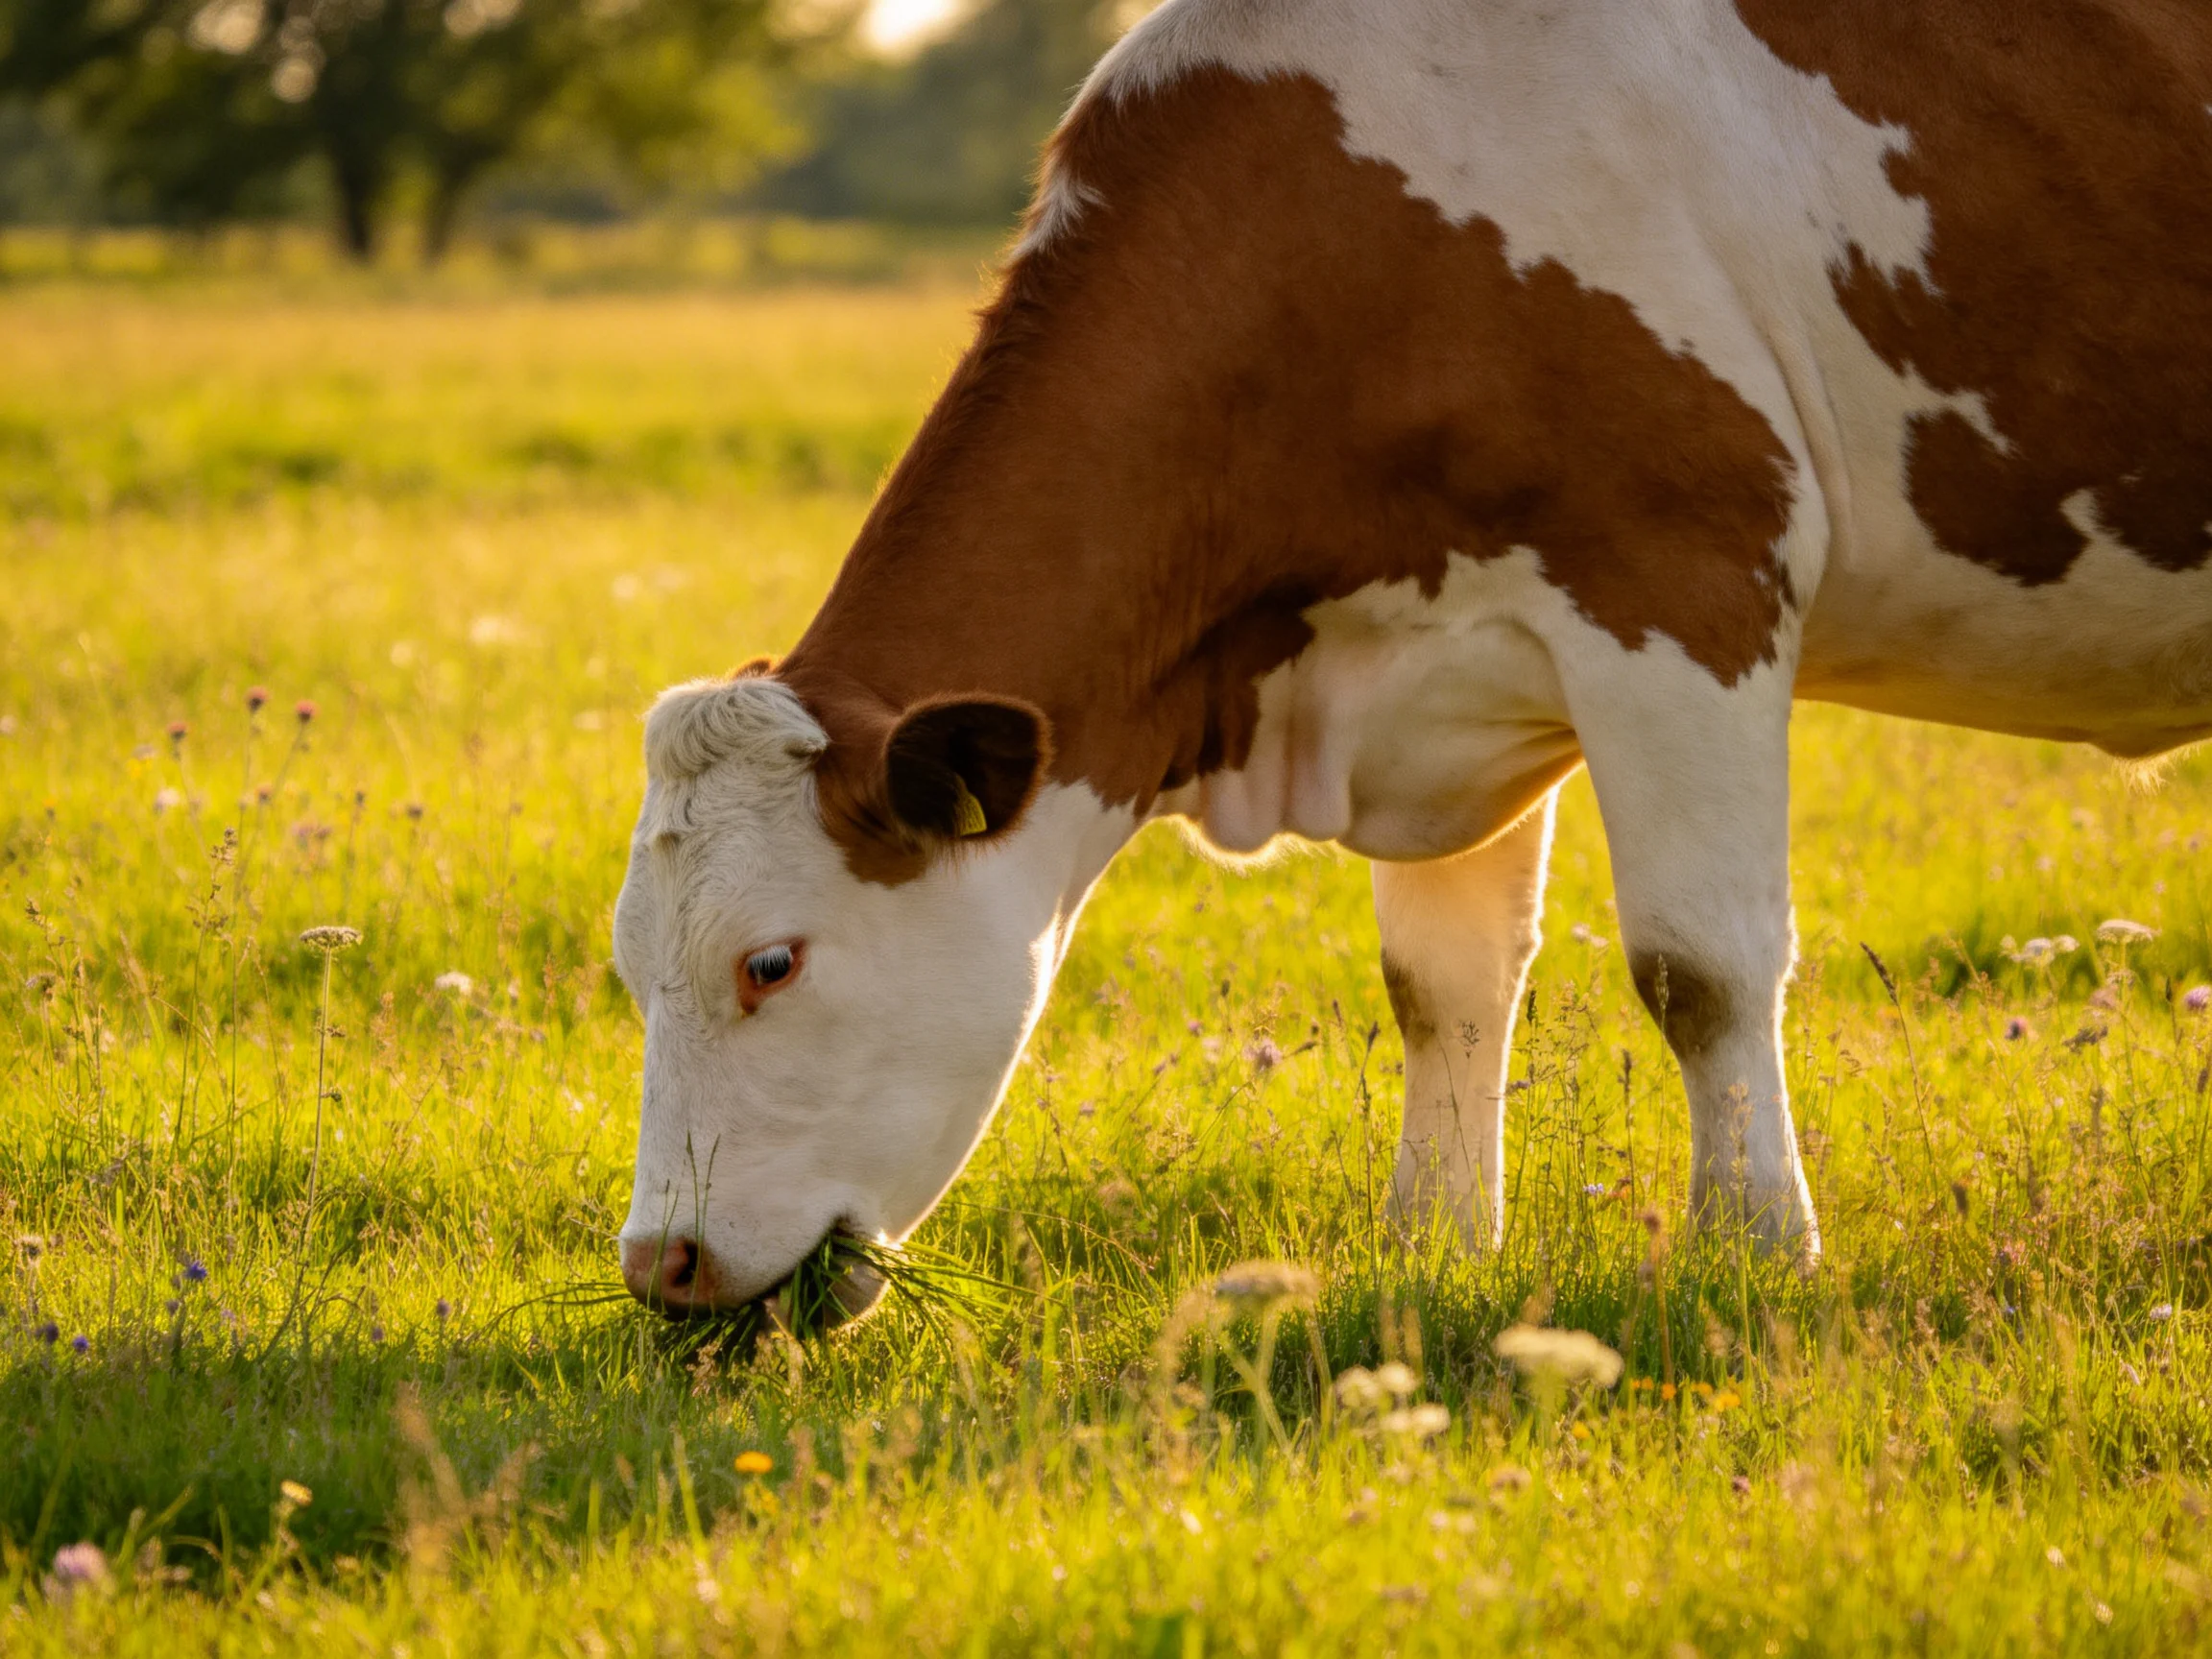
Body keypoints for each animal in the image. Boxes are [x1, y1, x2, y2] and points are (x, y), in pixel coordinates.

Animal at [613, 0, 2212, 1318]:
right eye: (631, 969)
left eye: (770, 962)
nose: (660, 1263)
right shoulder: (1456, 663)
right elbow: (1441, 980)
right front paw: (1436, 1247)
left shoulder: (1685, 582)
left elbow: (1701, 964)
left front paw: (1759, 1250)